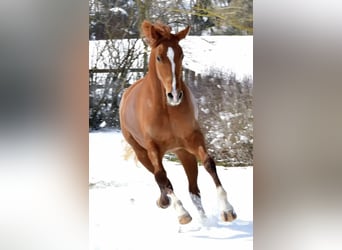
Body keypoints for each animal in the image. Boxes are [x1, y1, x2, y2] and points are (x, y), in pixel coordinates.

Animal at [119, 20, 236, 225]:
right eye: (159, 57)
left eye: (181, 54)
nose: (174, 95)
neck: (167, 109)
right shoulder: (152, 147)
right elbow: (162, 176)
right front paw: (182, 213)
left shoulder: (193, 138)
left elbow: (209, 163)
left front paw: (227, 210)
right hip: (141, 152)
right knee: (159, 177)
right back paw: (164, 202)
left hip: (183, 152)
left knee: (194, 190)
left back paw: (204, 221)